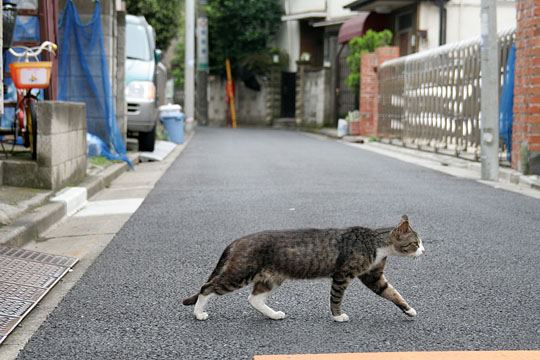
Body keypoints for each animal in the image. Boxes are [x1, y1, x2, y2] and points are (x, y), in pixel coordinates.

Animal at [184, 215, 424, 322]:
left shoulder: (373, 276)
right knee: (208, 287)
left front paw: (409, 309)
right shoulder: (342, 275)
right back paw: (199, 313)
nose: (424, 251)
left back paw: (273, 315)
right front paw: (338, 316)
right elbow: (336, 297)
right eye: (415, 243)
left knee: (254, 298)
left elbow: (392, 293)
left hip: (271, 277)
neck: (376, 244)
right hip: (241, 272)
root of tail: (238, 240)